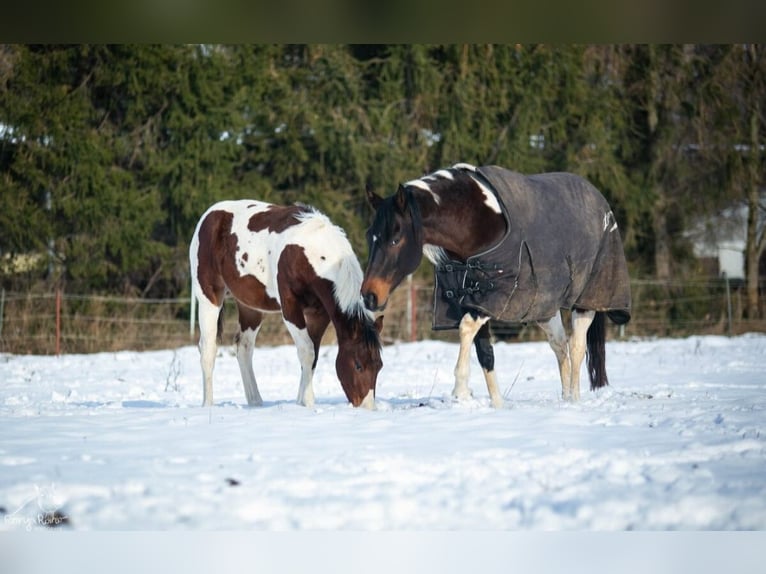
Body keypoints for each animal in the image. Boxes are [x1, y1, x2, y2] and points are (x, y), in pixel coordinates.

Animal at [192, 200, 384, 412]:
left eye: (379, 366)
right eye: (358, 365)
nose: (367, 407)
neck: (311, 252)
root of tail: (209, 215)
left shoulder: (318, 314)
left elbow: (313, 354)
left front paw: (300, 401)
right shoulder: (291, 309)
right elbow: (307, 351)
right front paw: (308, 402)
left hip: (251, 308)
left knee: (243, 348)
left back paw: (255, 402)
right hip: (209, 298)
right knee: (208, 348)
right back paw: (208, 404)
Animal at [364, 162, 632, 408]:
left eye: (396, 239)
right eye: (371, 237)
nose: (369, 296)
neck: (475, 220)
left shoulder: (495, 297)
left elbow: (466, 329)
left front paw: (460, 390)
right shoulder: (472, 298)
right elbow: (485, 354)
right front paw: (497, 405)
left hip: (586, 301)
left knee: (576, 347)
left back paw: (574, 401)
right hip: (545, 308)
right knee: (560, 346)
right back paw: (566, 399)